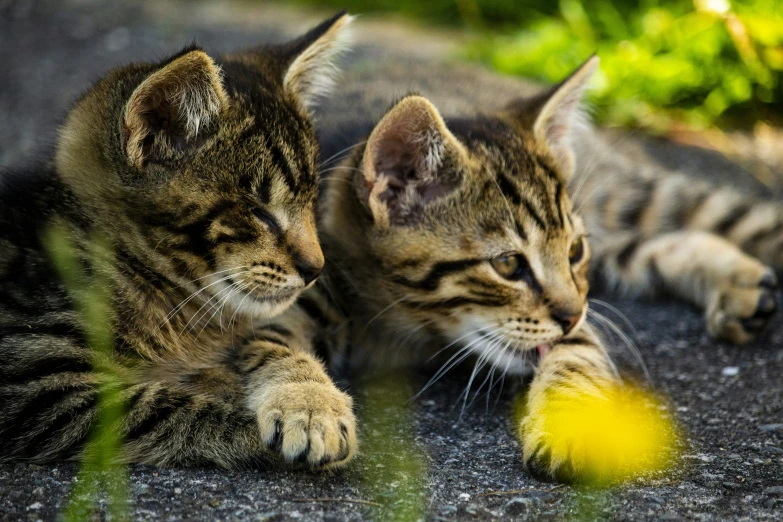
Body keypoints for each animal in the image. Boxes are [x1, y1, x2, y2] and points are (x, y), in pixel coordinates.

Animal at [0, 11, 360, 468]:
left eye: (312, 203)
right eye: (260, 213)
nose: (316, 268)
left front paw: (310, 400)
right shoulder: (33, 379)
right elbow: (171, 410)